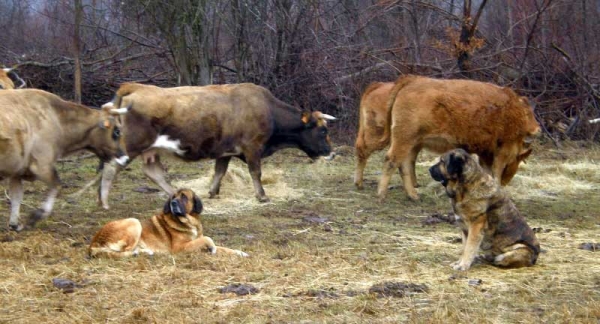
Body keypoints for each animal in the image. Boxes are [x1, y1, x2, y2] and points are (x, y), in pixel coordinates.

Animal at [0, 88, 129, 230]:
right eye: (117, 131)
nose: (126, 158)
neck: (56, 117)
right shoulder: (41, 165)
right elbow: (57, 185)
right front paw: (38, 214)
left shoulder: (17, 171)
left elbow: (16, 197)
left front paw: (14, 224)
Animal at [89, 187, 248, 258]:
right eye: (173, 197)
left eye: (183, 197)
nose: (173, 203)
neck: (189, 221)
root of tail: (93, 242)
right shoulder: (179, 248)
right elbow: (209, 240)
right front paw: (212, 248)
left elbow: (224, 247)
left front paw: (240, 252)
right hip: (134, 222)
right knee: (123, 252)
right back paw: (141, 252)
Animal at [378, 76, 540, 201]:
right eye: (517, 162)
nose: (538, 129)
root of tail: (411, 80)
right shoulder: (503, 150)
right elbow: (496, 172)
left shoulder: (486, 153)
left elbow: (487, 172)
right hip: (404, 139)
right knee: (391, 160)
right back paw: (381, 194)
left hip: (410, 142)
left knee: (404, 164)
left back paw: (413, 195)